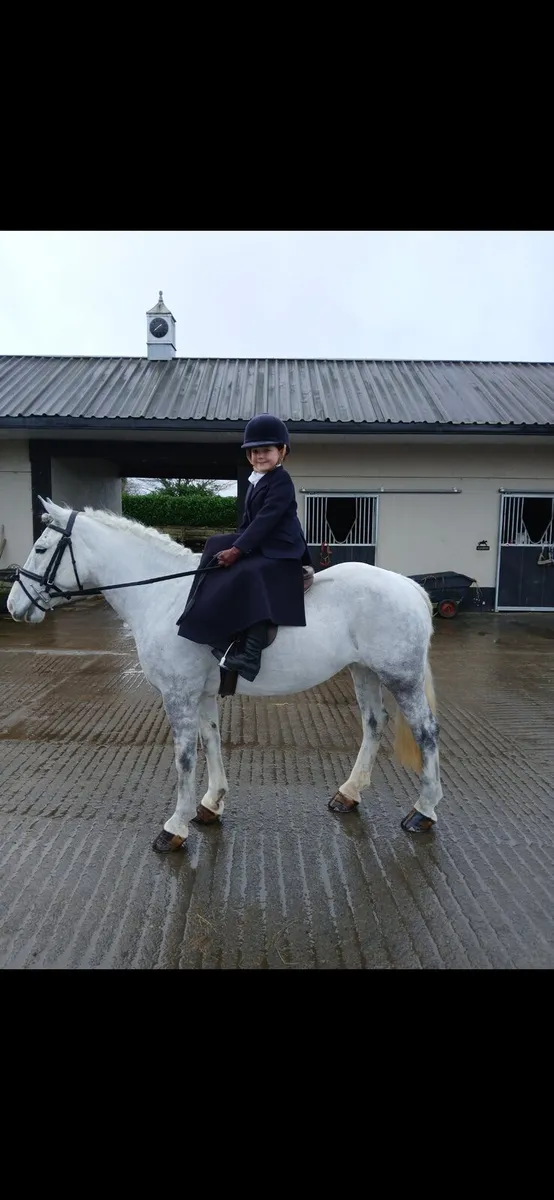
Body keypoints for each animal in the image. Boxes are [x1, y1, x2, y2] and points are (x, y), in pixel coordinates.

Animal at [7, 498, 443, 851]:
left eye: (41, 548)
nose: (13, 605)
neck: (166, 598)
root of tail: (409, 588)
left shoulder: (178, 695)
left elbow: (184, 758)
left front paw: (175, 827)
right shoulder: (199, 694)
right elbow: (211, 740)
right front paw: (210, 805)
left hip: (400, 677)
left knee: (425, 732)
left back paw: (423, 811)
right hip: (364, 671)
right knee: (373, 724)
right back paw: (349, 794)